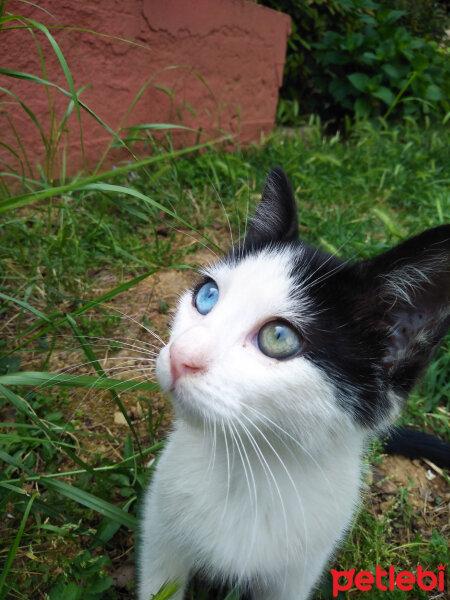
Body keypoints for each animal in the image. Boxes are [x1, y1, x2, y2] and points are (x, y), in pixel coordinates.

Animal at [139, 168, 448, 600]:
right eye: (207, 295)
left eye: (279, 338)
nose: (179, 355)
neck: (251, 468)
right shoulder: (160, 529)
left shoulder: (302, 565)